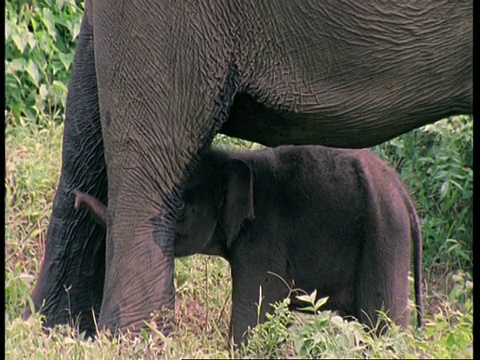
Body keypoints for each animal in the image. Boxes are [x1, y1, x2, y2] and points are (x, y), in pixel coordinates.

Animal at [73, 145, 422, 344]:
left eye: (181, 207)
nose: (76, 197)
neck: (234, 159)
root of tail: (406, 197)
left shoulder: (264, 238)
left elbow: (255, 307)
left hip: (385, 235)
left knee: (383, 322)